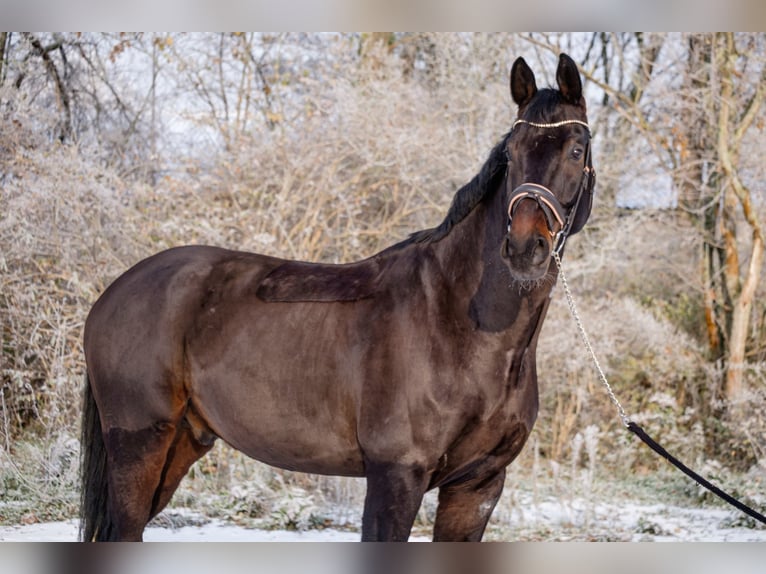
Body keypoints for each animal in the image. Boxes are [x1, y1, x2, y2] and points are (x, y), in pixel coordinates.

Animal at [79, 51, 592, 544]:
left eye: (576, 149)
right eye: (511, 151)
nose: (525, 247)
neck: (460, 325)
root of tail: (113, 293)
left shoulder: (478, 486)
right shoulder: (395, 475)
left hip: (183, 442)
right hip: (140, 444)